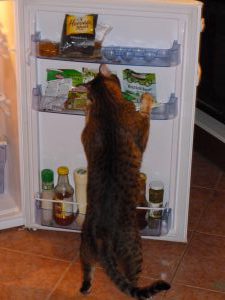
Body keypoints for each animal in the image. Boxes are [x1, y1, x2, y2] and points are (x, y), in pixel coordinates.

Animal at [80, 63, 170, 298]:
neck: (107, 104)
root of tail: (102, 237)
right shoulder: (140, 131)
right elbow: (145, 115)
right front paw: (146, 99)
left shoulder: (87, 136)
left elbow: (87, 123)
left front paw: (86, 109)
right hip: (133, 247)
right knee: (132, 281)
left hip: (84, 242)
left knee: (87, 267)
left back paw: (86, 287)